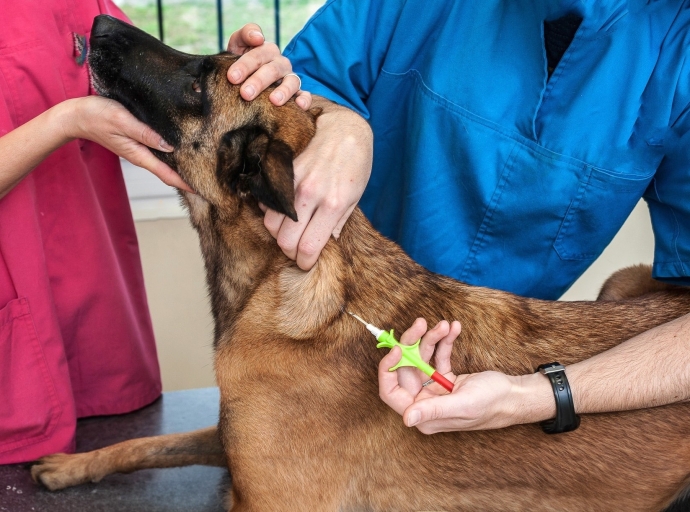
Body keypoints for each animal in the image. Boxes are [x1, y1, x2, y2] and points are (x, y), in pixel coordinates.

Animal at [29, 14, 688, 510]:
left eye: (201, 79)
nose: (98, 23)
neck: (283, 281)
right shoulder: (229, 443)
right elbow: (148, 444)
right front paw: (72, 464)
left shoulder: (267, 500)